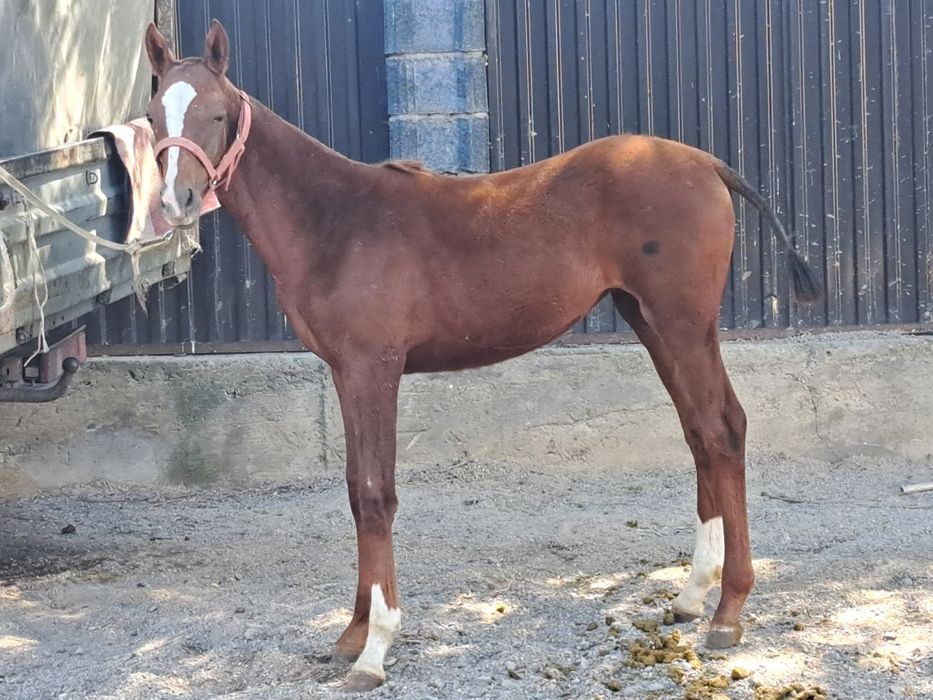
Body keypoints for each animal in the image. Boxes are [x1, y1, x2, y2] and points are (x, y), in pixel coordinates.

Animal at [143, 20, 820, 691]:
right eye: (152, 116)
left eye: (216, 113)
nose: (177, 202)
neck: (335, 219)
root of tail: (708, 163)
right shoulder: (344, 372)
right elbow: (354, 490)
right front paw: (351, 634)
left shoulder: (372, 368)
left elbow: (375, 495)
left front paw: (374, 649)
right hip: (650, 322)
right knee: (701, 432)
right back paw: (691, 595)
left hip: (683, 324)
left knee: (722, 432)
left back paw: (729, 612)